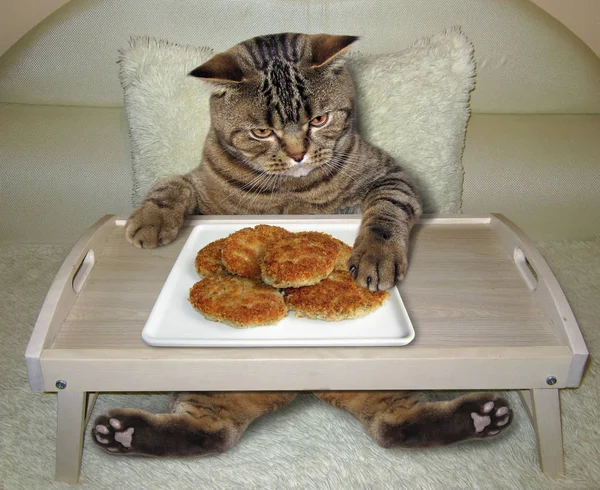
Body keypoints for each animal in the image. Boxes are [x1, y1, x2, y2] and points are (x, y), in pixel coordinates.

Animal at [91, 33, 512, 456]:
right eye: (261, 132)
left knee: (394, 425)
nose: (297, 154)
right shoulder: (202, 187)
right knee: (210, 432)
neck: (287, 190)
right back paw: (121, 432)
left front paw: (375, 256)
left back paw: (484, 416)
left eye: (319, 120)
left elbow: (385, 212)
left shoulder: (390, 175)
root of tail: (300, 387)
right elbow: (170, 184)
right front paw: (149, 220)